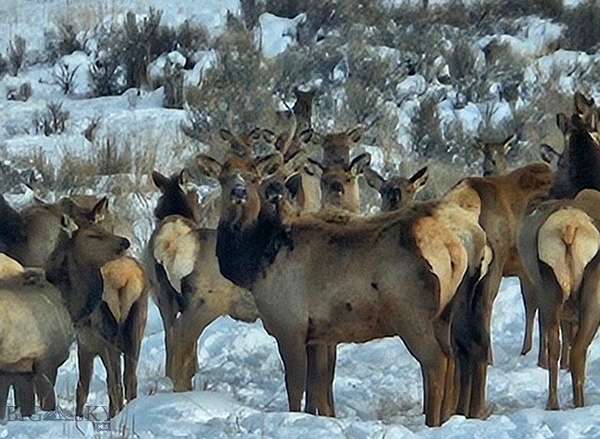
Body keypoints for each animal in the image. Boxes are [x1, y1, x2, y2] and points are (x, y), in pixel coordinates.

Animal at [195, 147, 495, 426]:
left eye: (253, 176)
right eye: (223, 177)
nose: (238, 192)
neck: (255, 260)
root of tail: (454, 249)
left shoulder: (288, 324)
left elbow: (295, 387)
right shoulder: (319, 333)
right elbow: (320, 389)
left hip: (412, 315)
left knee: (437, 361)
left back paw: (432, 422)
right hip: (445, 314)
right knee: (453, 356)